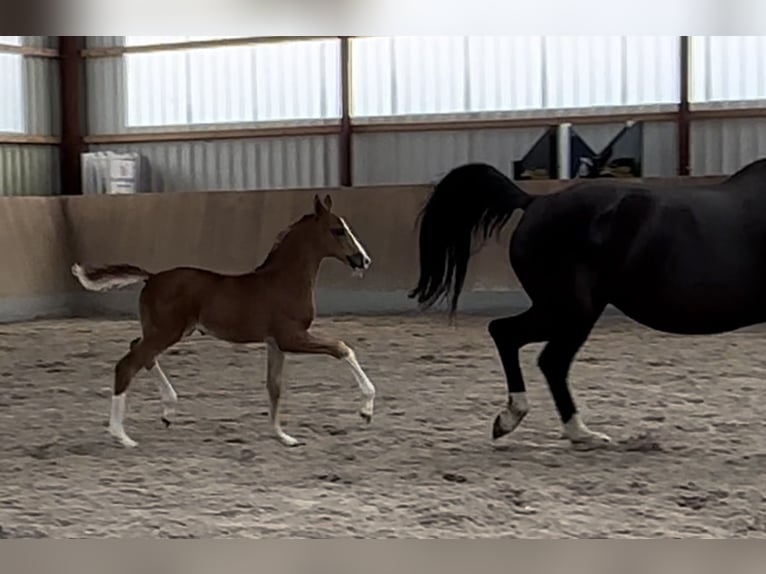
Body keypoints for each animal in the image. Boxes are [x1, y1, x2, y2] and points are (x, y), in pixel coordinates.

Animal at [70, 196, 376, 452]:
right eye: (337, 230)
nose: (364, 260)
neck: (283, 280)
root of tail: (152, 277)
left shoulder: (275, 343)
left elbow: (274, 387)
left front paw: (283, 436)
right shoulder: (292, 337)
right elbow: (342, 348)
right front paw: (366, 410)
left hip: (165, 330)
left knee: (139, 351)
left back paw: (168, 410)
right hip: (167, 331)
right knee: (128, 364)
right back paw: (122, 435)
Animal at [414, 158, 766, 450]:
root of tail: (536, 202)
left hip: (567, 311)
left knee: (521, 343)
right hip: (571, 311)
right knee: (531, 349)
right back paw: (551, 426)